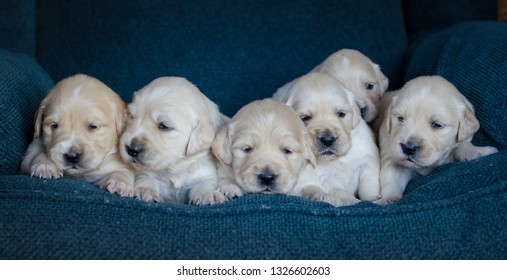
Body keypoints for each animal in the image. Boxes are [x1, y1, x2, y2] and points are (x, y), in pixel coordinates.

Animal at [120, 77, 227, 205]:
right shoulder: (146, 173)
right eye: (132, 116)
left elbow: (205, 184)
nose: (131, 150)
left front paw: (207, 195)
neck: (173, 168)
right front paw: (145, 192)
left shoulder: (203, 173)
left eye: (164, 126)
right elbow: (145, 179)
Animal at [274, 72, 380, 206]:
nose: (328, 140)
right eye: (305, 117)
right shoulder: (325, 179)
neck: (337, 159)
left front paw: (373, 199)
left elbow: (368, 185)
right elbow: (342, 194)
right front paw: (354, 202)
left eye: (341, 114)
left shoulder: (367, 161)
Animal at [378, 75, 500, 205]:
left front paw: (479, 152)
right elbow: (391, 175)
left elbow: (462, 146)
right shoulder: (392, 154)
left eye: (437, 125)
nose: (408, 148)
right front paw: (388, 199)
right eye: (400, 118)